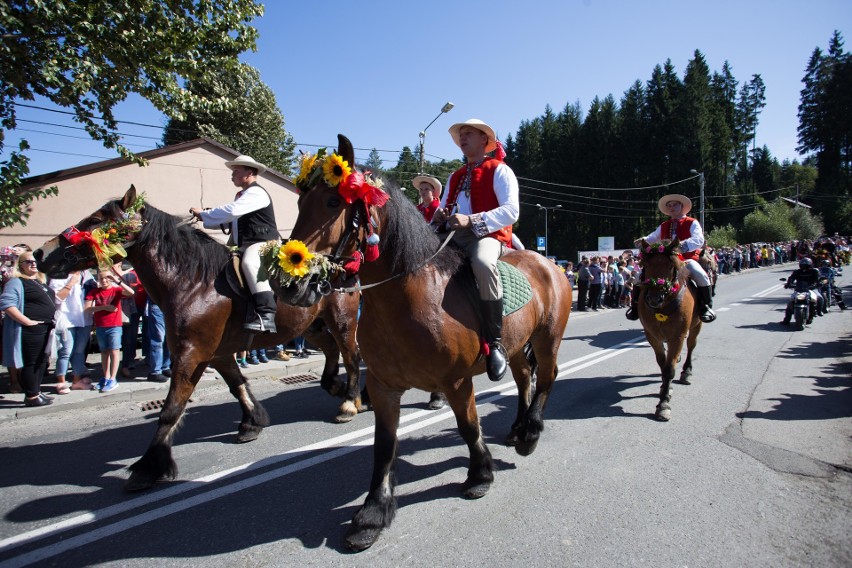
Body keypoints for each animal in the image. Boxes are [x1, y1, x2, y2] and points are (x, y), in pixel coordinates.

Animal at [34, 185, 362, 488]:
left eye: (96, 219)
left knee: (352, 357)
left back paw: (351, 401)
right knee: (332, 352)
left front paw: (149, 467)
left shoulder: (191, 355)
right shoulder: (216, 353)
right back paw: (337, 387)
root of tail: (339, 262)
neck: (193, 282)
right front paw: (252, 422)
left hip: (343, 322)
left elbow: (171, 409)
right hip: (311, 328)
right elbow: (237, 386)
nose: (40, 252)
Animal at [280, 134, 572, 552]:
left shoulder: (456, 382)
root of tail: (551, 265)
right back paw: (517, 427)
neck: (412, 295)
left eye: (334, 201)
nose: (291, 283)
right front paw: (372, 513)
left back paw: (530, 432)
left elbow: (469, 427)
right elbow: (384, 445)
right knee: (523, 378)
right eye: (301, 201)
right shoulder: (383, 386)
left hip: (548, 338)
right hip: (517, 346)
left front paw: (479, 476)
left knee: (546, 377)